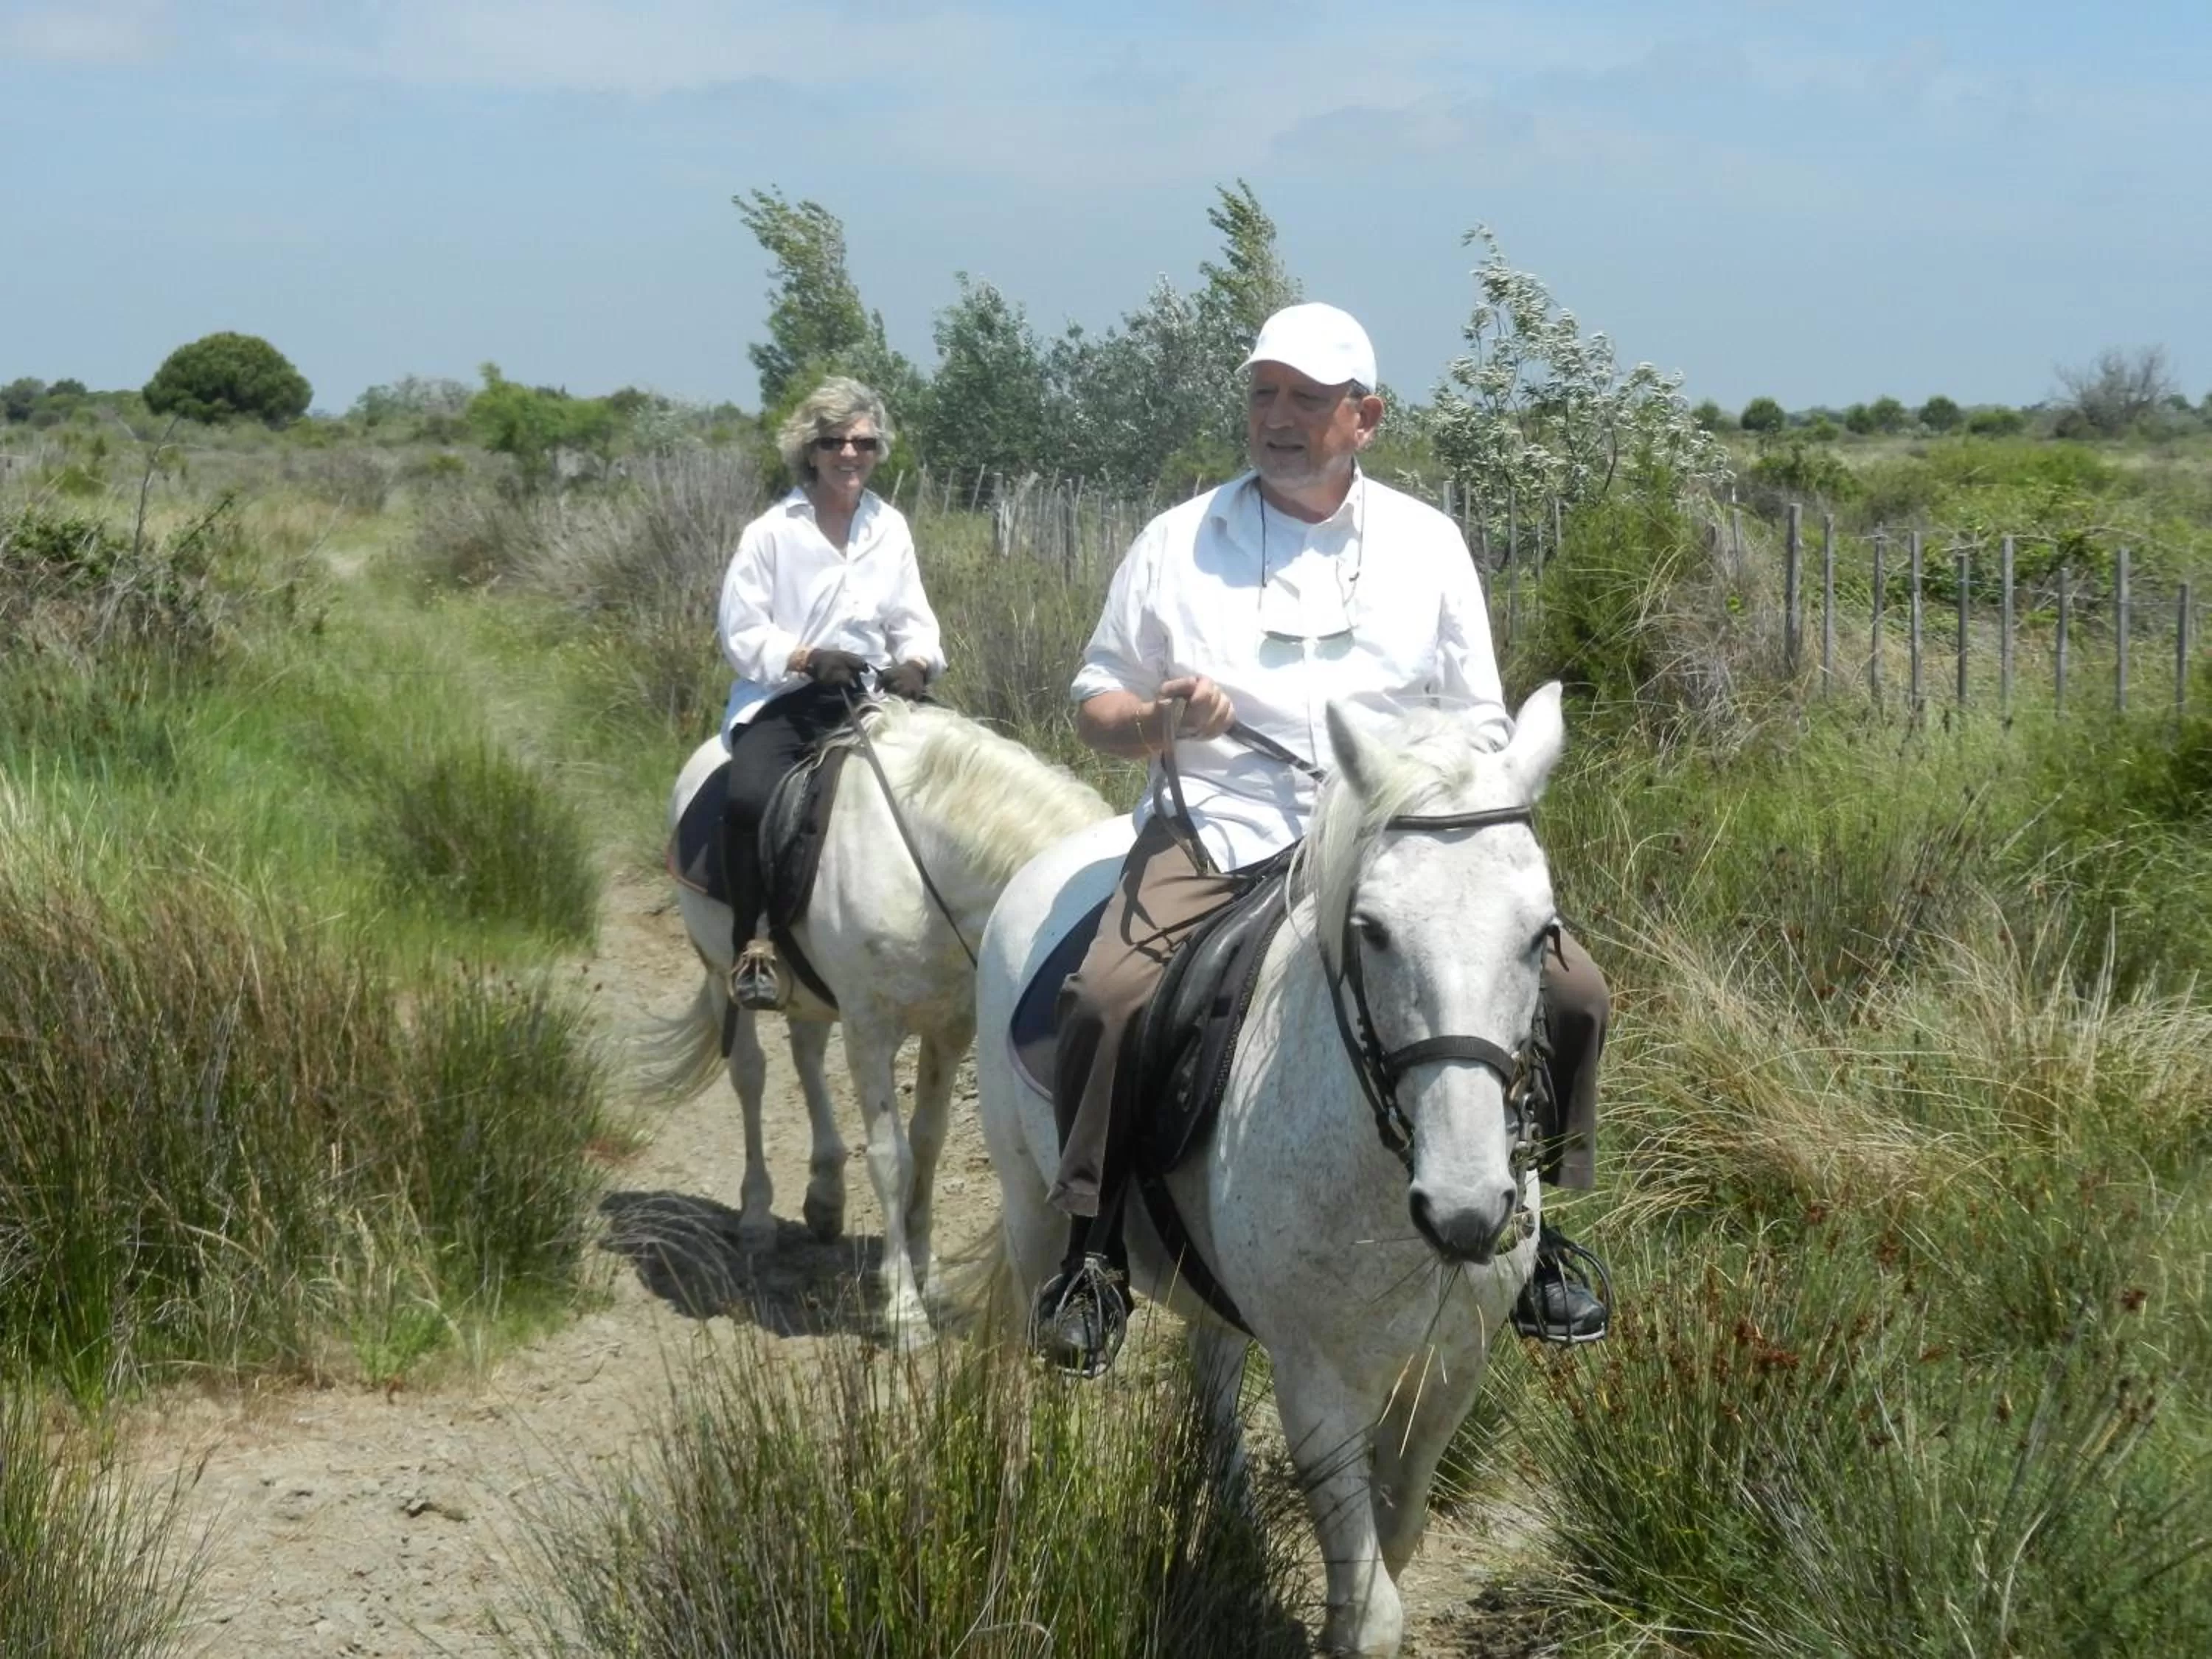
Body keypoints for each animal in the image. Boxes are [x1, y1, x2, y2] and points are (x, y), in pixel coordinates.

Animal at [650, 696, 1109, 1345]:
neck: (922, 865)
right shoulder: (870, 1032)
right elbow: (891, 1157)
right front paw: (904, 1308)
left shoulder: (949, 1028)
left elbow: (929, 1141)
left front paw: (927, 1273)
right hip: (722, 977)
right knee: (751, 1077)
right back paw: (758, 1216)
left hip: (810, 991)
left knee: (806, 1051)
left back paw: (824, 1196)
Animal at [975, 686, 1566, 1657]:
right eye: (1373, 931)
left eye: (1541, 933)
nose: (1467, 1210)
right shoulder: (1316, 1388)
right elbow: (1373, 1613)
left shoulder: (1450, 1375)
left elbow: (1397, 1536)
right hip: (1031, 1208)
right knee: (1035, 1364)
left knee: (1213, 1381)